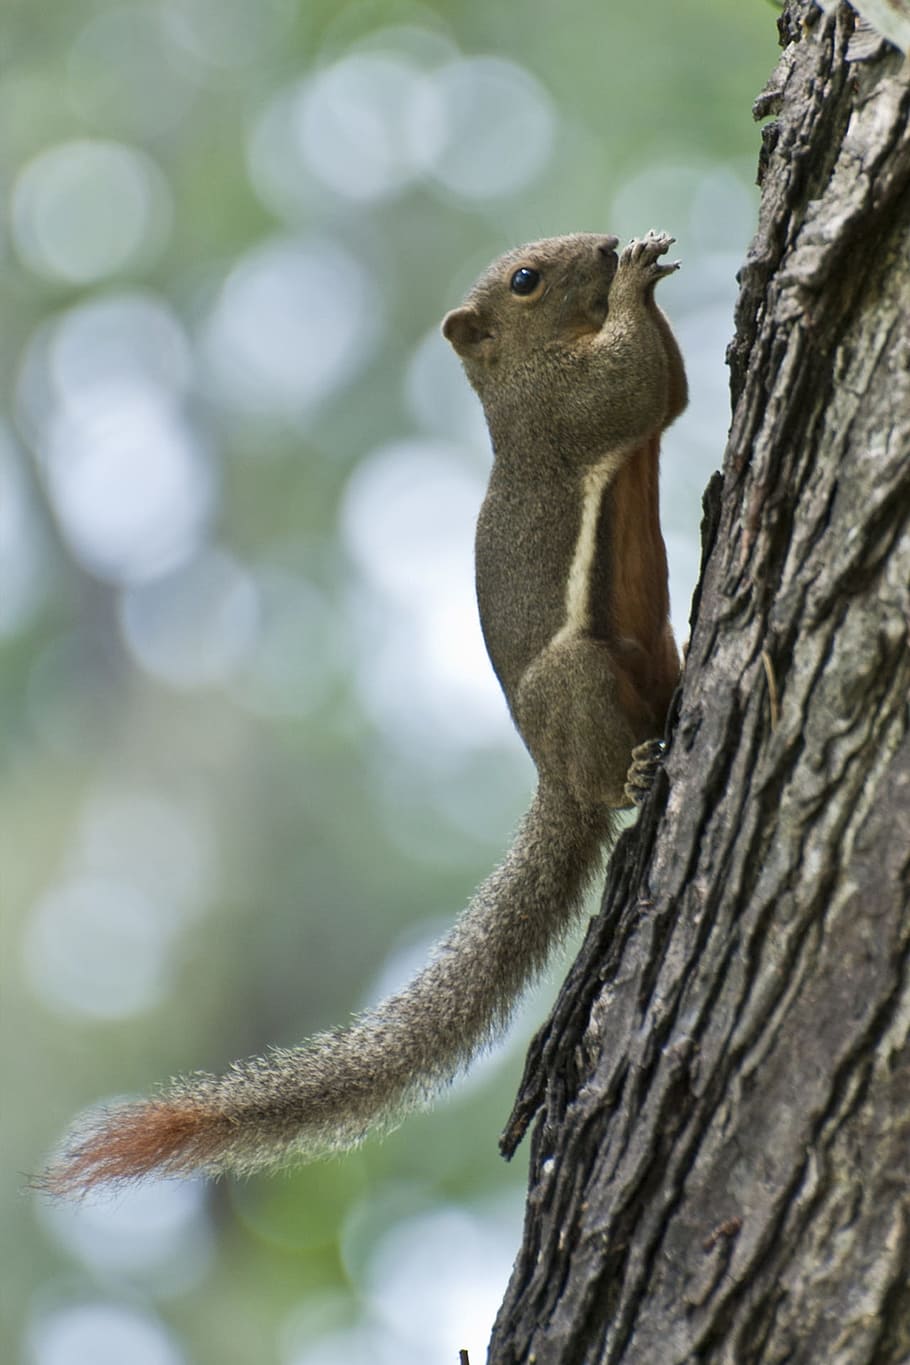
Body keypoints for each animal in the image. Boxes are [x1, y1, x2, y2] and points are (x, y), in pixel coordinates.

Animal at [41, 231, 686, 1195]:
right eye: (525, 279)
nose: (604, 246)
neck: (518, 376)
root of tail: (549, 771)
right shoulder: (570, 409)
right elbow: (645, 387)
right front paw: (641, 282)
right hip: (576, 683)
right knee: (602, 777)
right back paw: (635, 769)